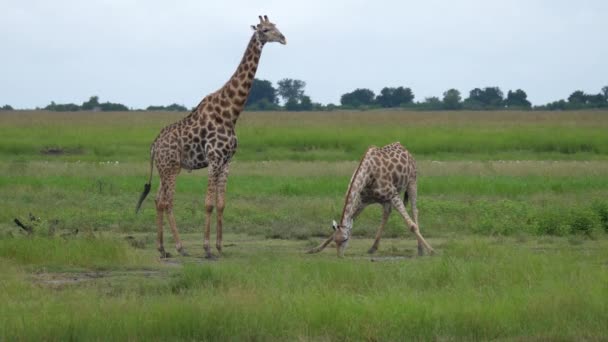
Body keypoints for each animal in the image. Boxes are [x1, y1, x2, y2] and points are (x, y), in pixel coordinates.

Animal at [136, 14, 288, 258]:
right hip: (170, 169)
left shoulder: (227, 162)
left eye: (275, 26)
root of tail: (153, 146)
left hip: (167, 168)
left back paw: (162, 248)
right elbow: (208, 203)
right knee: (167, 202)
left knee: (158, 200)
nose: (283, 38)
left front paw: (219, 246)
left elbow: (221, 203)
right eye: (265, 30)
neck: (230, 113)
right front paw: (207, 248)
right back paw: (180, 247)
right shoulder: (214, 159)